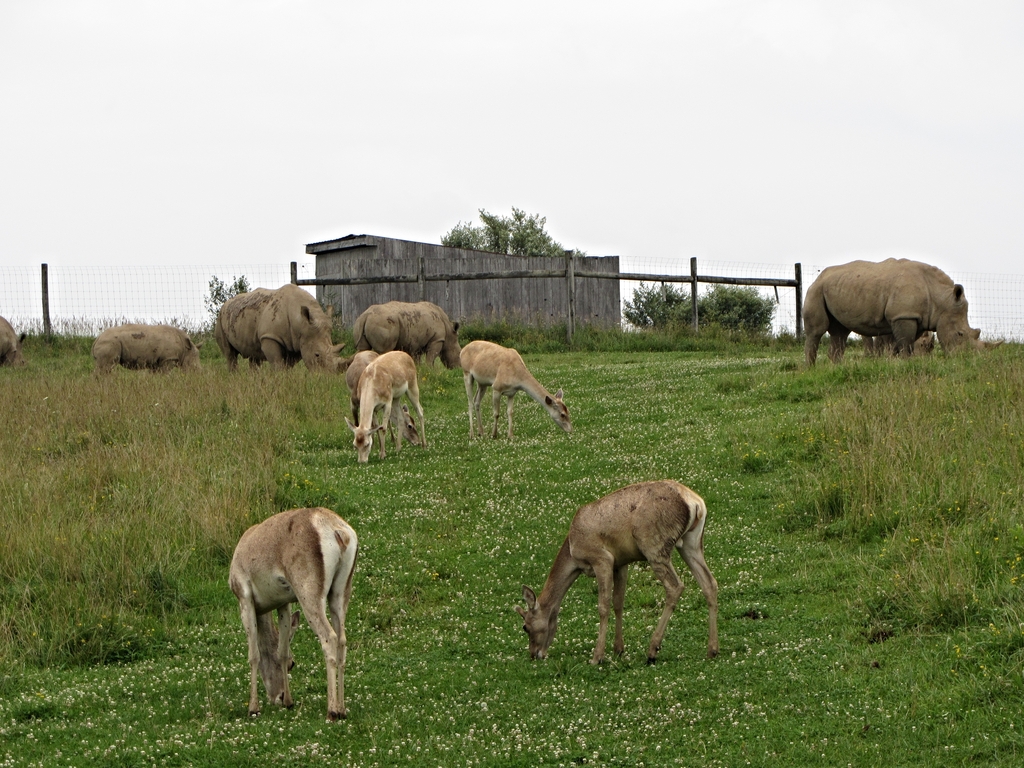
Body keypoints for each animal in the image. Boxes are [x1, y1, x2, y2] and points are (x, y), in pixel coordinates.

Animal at [229, 507, 358, 721]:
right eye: (292, 664)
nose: (279, 696)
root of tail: (340, 533)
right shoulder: (284, 602)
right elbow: (282, 650)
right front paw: (289, 702)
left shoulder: (243, 596)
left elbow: (253, 654)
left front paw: (253, 708)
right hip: (341, 590)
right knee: (342, 639)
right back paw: (342, 709)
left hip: (308, 589)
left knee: (329, 636)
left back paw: (331, 711)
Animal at [516, 480, 718, 665]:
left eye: (525, 626)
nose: (534, 654)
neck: (573, 552)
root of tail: (696, 503)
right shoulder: (621, 563)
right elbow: (618, 602)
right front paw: (618, 649)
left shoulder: (602, 559)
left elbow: (603, 606)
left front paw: (597, 656)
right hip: (692, 542)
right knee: (709, 582)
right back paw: (712, 650)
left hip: (654, 545)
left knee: (675, 586)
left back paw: (652, 650)